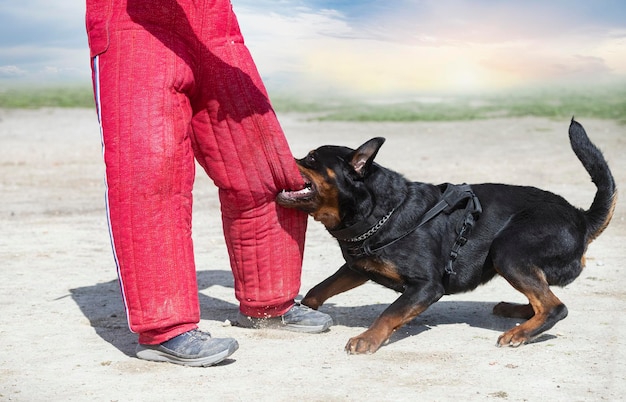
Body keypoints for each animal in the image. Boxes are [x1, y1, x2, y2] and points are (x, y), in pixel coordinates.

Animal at [276, 119, 616, 354]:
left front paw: (367, 339)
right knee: (542, 299)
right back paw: (516, 312)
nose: (283, 156)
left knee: (555, 306)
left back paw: (519, 332)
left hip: (508, 250)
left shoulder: (426, 287)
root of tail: (581, 217)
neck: (380, 211)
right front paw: (301, 309)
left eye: (311, 158)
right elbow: (319, 289)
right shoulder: (356, 268)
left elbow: (389, 313)